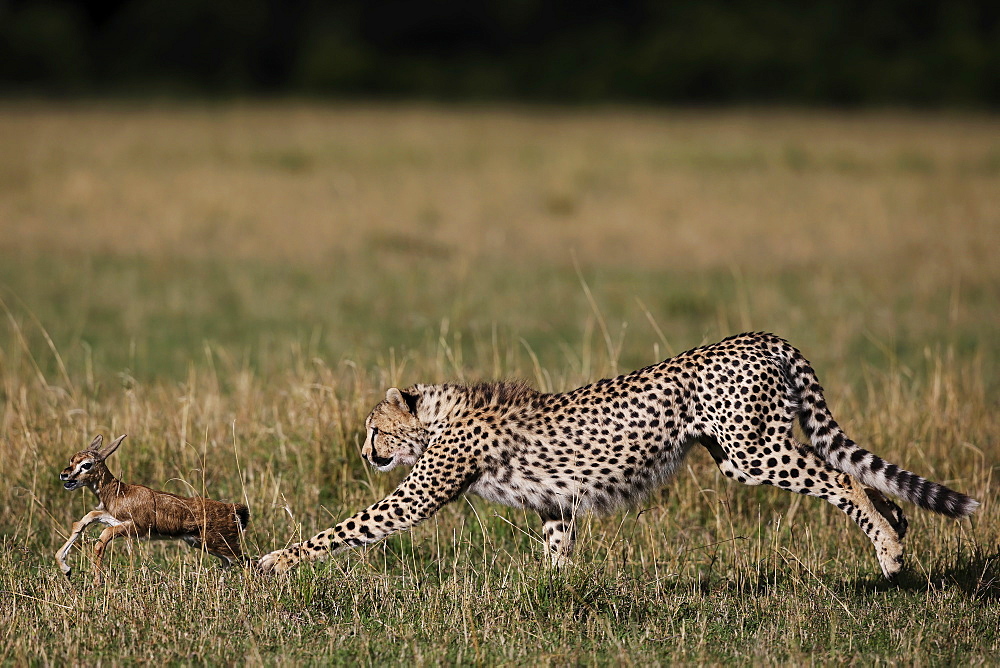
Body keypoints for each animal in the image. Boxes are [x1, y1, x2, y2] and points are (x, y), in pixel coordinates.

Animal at [262, 332, 980, 576]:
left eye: (377, 431)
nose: (365, 454)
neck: (441, 414)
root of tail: (759, 336)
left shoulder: (417, 493)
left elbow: (347, 528)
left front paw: (275, 561)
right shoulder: (555, 502)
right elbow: (555, 551)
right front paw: (550, 593)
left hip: (751, 452)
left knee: (843, 479)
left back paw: (888, 550)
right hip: (747, 446)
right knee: (856, 473)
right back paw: (898, 525)